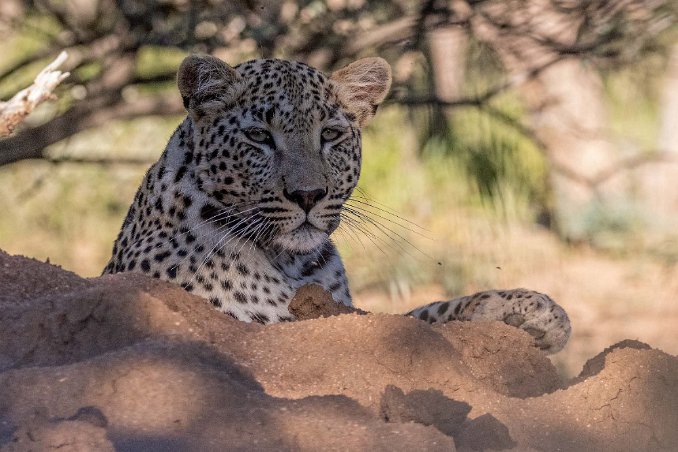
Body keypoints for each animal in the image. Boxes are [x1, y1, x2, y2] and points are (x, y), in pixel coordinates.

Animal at [103, 55, 572, 354]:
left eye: (329, 135)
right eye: (258, 136)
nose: (308, 194)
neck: (291, 260)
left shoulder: (341, 310)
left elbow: (420, 316)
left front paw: (533, 310)